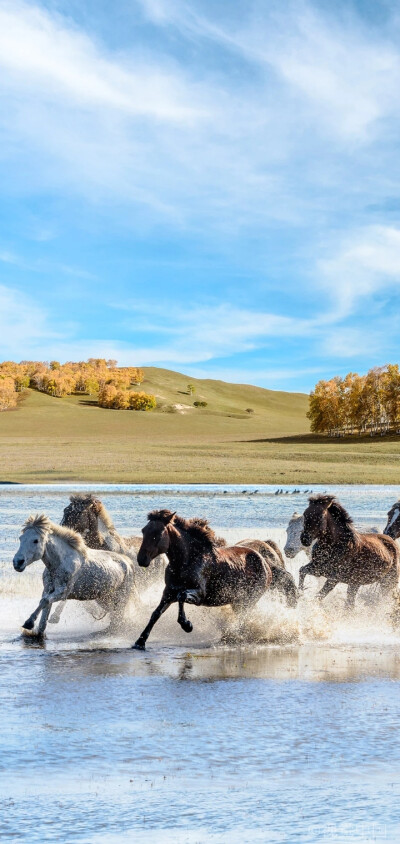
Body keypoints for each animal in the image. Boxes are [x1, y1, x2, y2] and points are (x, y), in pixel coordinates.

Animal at [133, 508, 274, 652]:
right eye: (144, 530)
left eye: (158, 533)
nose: (141, 559)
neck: (186, 561)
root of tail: (266, 565)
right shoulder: (168, 593)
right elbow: (156, 614)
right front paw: (140, 642)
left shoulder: (200, 594)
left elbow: (181, 596)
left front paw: (187, 625)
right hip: (238, 602)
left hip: (249, 600)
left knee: (243, 619)